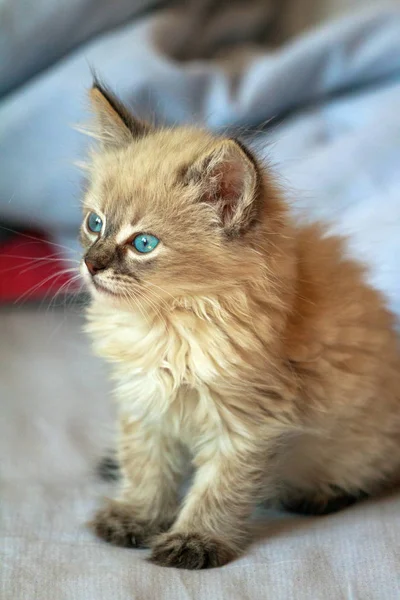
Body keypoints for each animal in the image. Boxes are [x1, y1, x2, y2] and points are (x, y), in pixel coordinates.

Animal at [80, 82, 400, 568]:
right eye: (94, 223)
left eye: (143, 244)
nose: (90, 264)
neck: (169, 326)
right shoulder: (144, 404)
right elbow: (146, 468)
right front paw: (135, 517)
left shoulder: (247, 423)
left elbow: (217, 490)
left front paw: (193, 540)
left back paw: (322, 494)